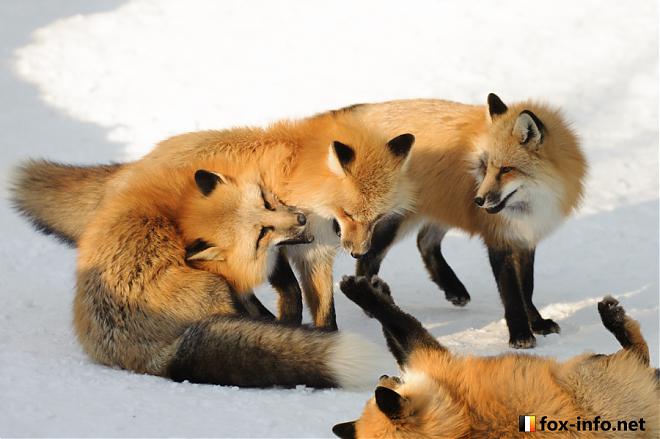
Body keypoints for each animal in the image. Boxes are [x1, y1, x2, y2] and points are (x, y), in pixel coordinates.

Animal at [11, 109, 416, 330]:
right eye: (348, 213)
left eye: (377, 217)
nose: (357, 252)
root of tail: (131, 167)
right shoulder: (271, 240)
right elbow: (292, 291)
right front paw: (290, 324)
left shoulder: (313, 250)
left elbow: (324, 309)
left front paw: (324, 338)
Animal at [73, 163, 384, 388]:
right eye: (262, 233)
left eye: (267, 202)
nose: (301, 219)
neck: (179, 218)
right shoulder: (229, 278)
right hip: (214, 288)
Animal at [333, 276, 659, 438]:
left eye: (391, 385)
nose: (384, 376)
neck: (462, 424)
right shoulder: (433, 360)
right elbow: (396, 319)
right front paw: (363, 291)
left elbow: (393, 322)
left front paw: (370, 290)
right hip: (589, 377)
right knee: (639, 352)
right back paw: (613, 317)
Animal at [352, 94, 587, 348]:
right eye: (485, 166)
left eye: (506, 169)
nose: (478, 200)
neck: (529, 208)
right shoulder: (499, 239)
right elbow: (512, 294)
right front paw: (520, 334)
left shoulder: (526, 239)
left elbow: (527, 289)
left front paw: (537, 323)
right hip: (397, 220)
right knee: (368, 256)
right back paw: (368, 300)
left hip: (441, 209)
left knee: (424, 241)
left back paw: (453, 289)